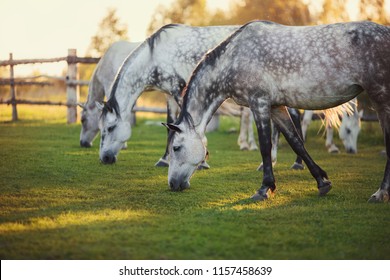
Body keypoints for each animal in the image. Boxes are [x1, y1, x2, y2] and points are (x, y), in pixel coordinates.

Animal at [96, 24, 239, 166]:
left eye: (110, 128)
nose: (105, 158)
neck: (155, 58)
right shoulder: (170, 95)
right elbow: (171, 126)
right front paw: (164, 160)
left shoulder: (181, 94)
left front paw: (202, 163)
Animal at [165, 20, 390, 202]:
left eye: (176, 147)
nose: (172, 184)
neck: (233, 58)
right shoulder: (276, 107)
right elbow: (296, 141)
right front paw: (322, 181)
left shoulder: (260, 104)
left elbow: (265, 146)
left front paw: (265, 188)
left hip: (381, 97)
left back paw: (380, 193)